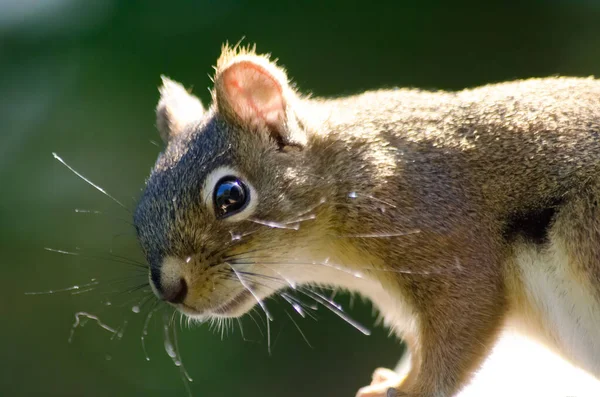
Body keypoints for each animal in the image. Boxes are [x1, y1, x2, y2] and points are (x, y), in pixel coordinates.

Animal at [134, 44, 600, 394]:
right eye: (139, 212)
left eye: (230, 196)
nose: (171, 289)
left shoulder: (447, 238)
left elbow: (459, 329)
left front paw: (412, 390)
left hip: (583, 233)